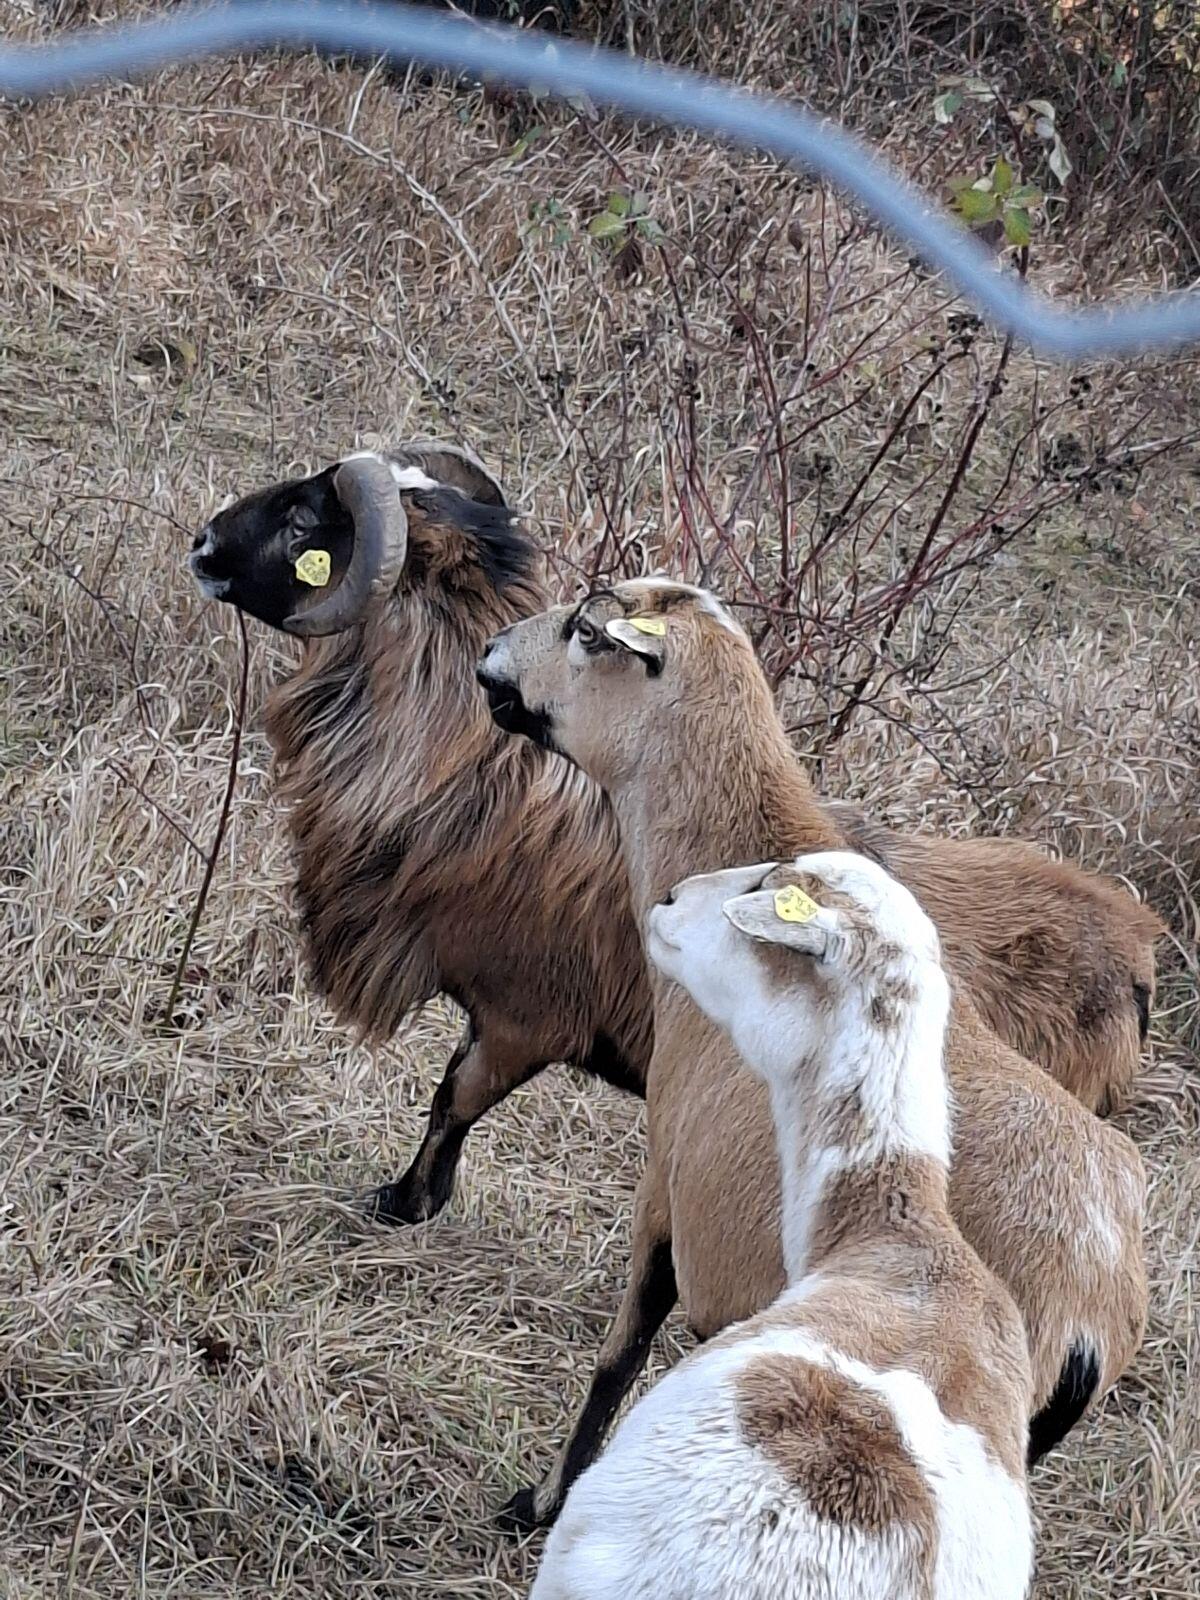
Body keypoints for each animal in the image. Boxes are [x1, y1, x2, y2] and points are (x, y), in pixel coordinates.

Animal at [190, 445, 1156, 1247]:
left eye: (307, 521)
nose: (202, 544)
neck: (478, 773)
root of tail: (1138, 957)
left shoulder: (525, 1015)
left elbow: (453, 1099)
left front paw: (404, 1205)